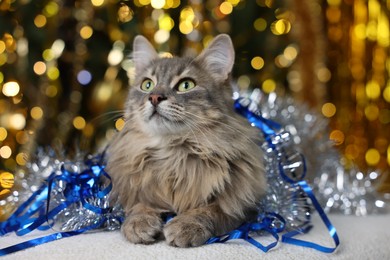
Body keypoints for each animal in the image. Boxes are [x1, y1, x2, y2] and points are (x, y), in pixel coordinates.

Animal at [105, 34, 266, 248]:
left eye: (186, 85)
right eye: (147, 85)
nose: (154, 97)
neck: (171, 155)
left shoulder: (241, 205)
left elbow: (209, 210)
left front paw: (186, 225)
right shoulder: (136, 192)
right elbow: (139, 206)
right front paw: (138, 223)